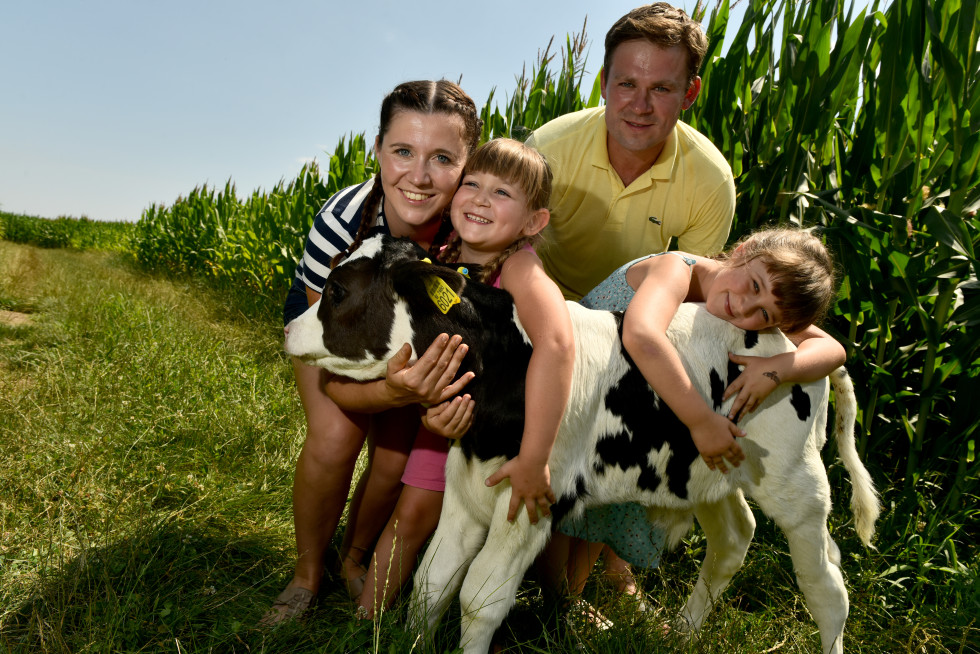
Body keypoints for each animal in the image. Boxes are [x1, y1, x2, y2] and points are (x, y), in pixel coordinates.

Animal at [284, 236, 880, 654]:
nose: (288, 328)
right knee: (734, 538)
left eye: (337, 291)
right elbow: (433, 582)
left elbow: (479, 598)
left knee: (828, 585)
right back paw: (684, 634)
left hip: (797, 482)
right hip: (709, 469)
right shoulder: (467, 486)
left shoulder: (528, 500)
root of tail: (795, 344)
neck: (509, 360)